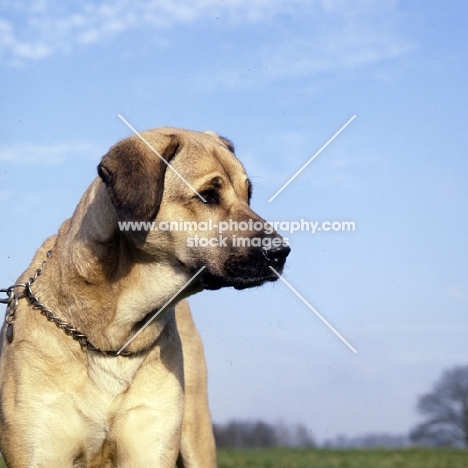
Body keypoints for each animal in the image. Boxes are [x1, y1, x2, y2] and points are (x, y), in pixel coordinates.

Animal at [0, 128, 290, 468]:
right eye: (208, 195)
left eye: (248, 195)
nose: (281, 252)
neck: (113, 338)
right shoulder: (41, 447)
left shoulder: (151, 443)